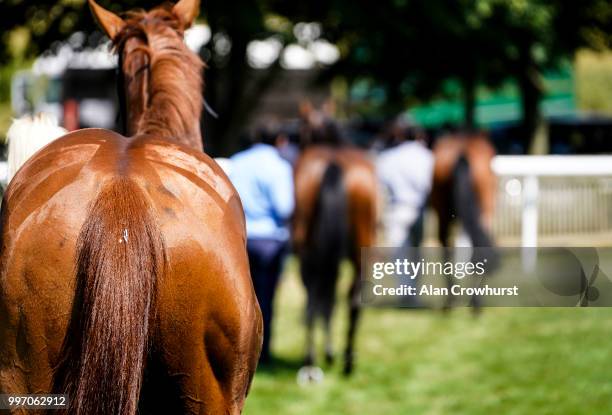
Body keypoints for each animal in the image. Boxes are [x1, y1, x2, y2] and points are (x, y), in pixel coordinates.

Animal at [292, 108, 378, 376]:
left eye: (302, 131)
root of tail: (333, 164)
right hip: (362, 250)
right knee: (352, 299)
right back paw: (348, 361)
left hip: (308, 254)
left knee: (314, 298)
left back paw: (313, 360)